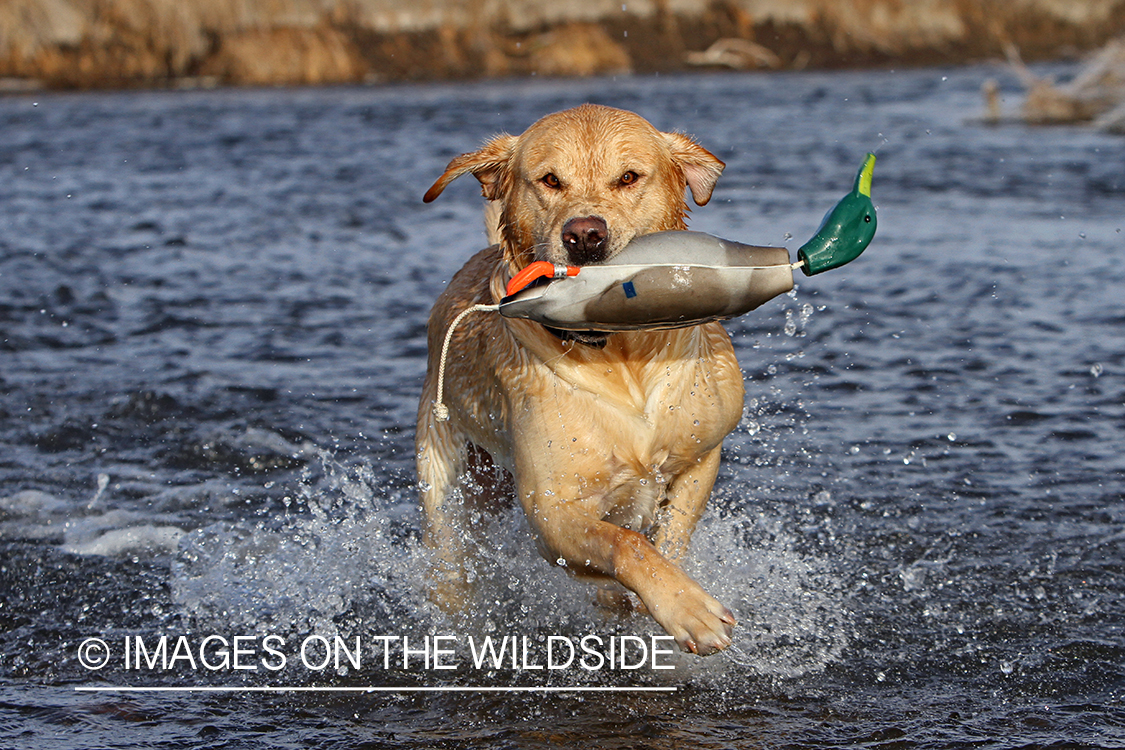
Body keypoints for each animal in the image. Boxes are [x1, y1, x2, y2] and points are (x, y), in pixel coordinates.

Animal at [418, 102, 742, 652]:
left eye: (628, 177)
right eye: (550, 180)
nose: (585, 234)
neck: (621, 353)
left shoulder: (702, 457)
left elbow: (670, 536)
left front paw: (662, 594)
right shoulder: (551, 512)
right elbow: (625, 543)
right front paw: (687, 608)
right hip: (446, 482)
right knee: (449, 556)